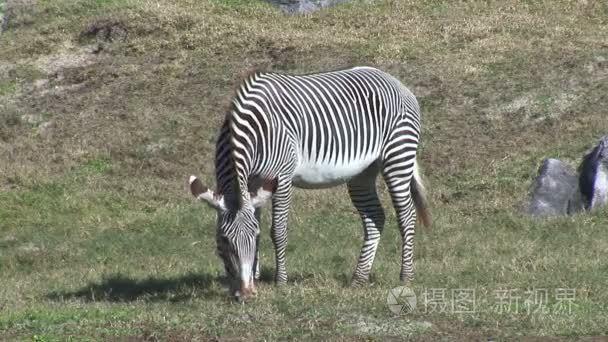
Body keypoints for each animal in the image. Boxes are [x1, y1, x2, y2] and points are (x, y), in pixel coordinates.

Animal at [188, 65, 430, 300]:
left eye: (254, 237)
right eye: (223, 240)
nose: (246, 294)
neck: (250, 130)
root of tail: (394, 81)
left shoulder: (281, 177)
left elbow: (278, 231)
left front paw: (280, 282)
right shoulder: (254, 184)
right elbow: (257, 219)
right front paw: (256, 278)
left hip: (398, 156)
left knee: (406, 215)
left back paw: (406, 276)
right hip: (363, 173)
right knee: (375, 216)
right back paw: (359, 278)